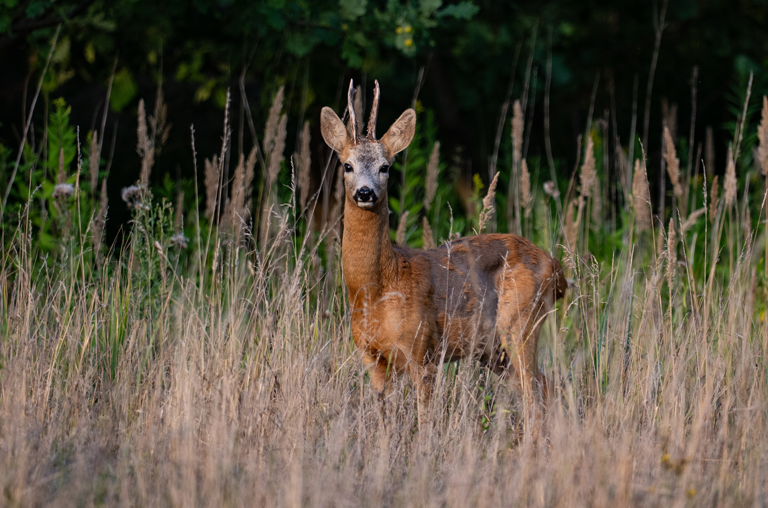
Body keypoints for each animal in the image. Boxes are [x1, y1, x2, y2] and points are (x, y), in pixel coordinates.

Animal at [320, 78, 568, 412]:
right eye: (347, 165)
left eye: (385, 167)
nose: (365, 192)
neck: (376, 290)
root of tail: (557, 269)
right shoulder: (372, 358)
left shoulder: (422, 348)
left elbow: (425, 416)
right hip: (492, 349)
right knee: (548, 387)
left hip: (520, 321)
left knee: (535, 393)